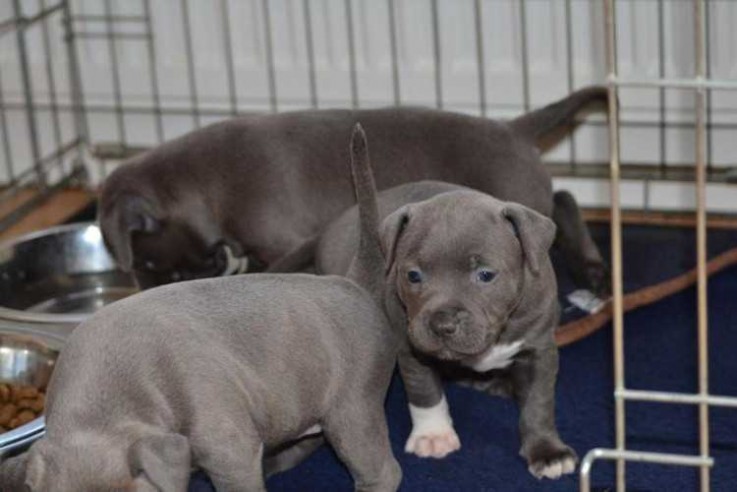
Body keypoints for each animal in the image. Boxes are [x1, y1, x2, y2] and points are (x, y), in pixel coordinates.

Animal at [100, 87, 608, 296]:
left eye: (149, 265)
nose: (142, 294)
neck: (208, 180)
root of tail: (515, 128)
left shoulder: (285, 243)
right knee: (564, 201)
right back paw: (592, 266)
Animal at [316, 180, 576, 480]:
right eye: (413, 275)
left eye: (486, 275)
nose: (443, 325)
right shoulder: (411, 347)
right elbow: (424, 391)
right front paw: (433, 434)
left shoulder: (539, 349)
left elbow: (538, 403)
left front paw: (547, 451)